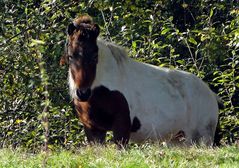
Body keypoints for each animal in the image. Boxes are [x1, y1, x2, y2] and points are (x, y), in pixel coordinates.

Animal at [60, 15, 219, 146]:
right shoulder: (93, 129)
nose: (82, 93)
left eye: (94, 56)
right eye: (70, 56)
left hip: (202, 139)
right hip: (178, 140)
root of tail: (211, 94)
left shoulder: (121, 127)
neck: (101, 90)